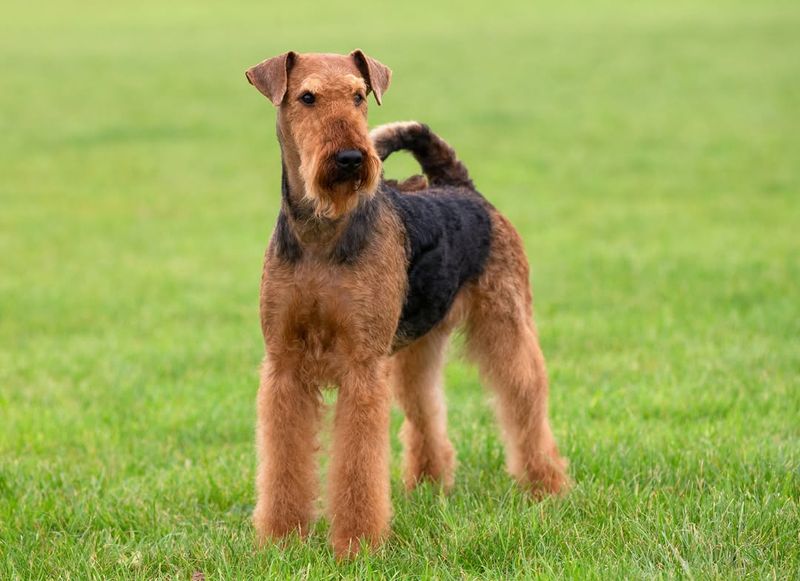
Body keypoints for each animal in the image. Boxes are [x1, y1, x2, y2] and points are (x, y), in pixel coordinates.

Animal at [244, 49, 568, 556]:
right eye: (307, 97)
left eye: (359, 96)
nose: (352, 157)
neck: (321, 235)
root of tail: (461, 187)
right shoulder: (285, 364)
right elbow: (283, 461)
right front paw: (281, 538)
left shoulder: (361, 367)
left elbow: (358, 466)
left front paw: (357, 545)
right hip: (418, 345)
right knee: (426, 407)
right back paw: (430, 483)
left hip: (506, 322)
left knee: (525, 400)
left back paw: (545, 486)